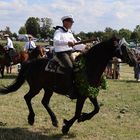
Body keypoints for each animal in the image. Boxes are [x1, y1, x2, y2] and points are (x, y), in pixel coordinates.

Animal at [0, 36, 137, 135]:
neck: (89, 67)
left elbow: (96, 109)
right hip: (36, 87)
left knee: (44, 102)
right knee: (27, 97)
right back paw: (32, 118)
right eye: (124, 47)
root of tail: (31, 63)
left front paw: (83, 117)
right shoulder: (81, 96)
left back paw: (54, 120)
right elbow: (77, 113)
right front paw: (66, 127)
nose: (135, 60)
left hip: (48, 89)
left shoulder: (90, 93)